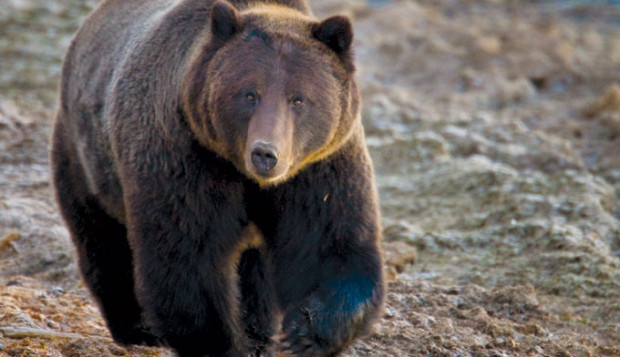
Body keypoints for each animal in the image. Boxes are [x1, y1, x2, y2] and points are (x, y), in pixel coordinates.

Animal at [50, 0, 386, 356]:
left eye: (298, 99)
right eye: (249, 94)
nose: (265, 154)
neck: (247, 177)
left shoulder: (318, 169)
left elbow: (330, 246)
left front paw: (304, 333)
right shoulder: (186, 159)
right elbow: (188, 260)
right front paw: (221, 342)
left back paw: (258, 331)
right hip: (86, 161)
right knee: (104, 243)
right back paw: (138, 328)